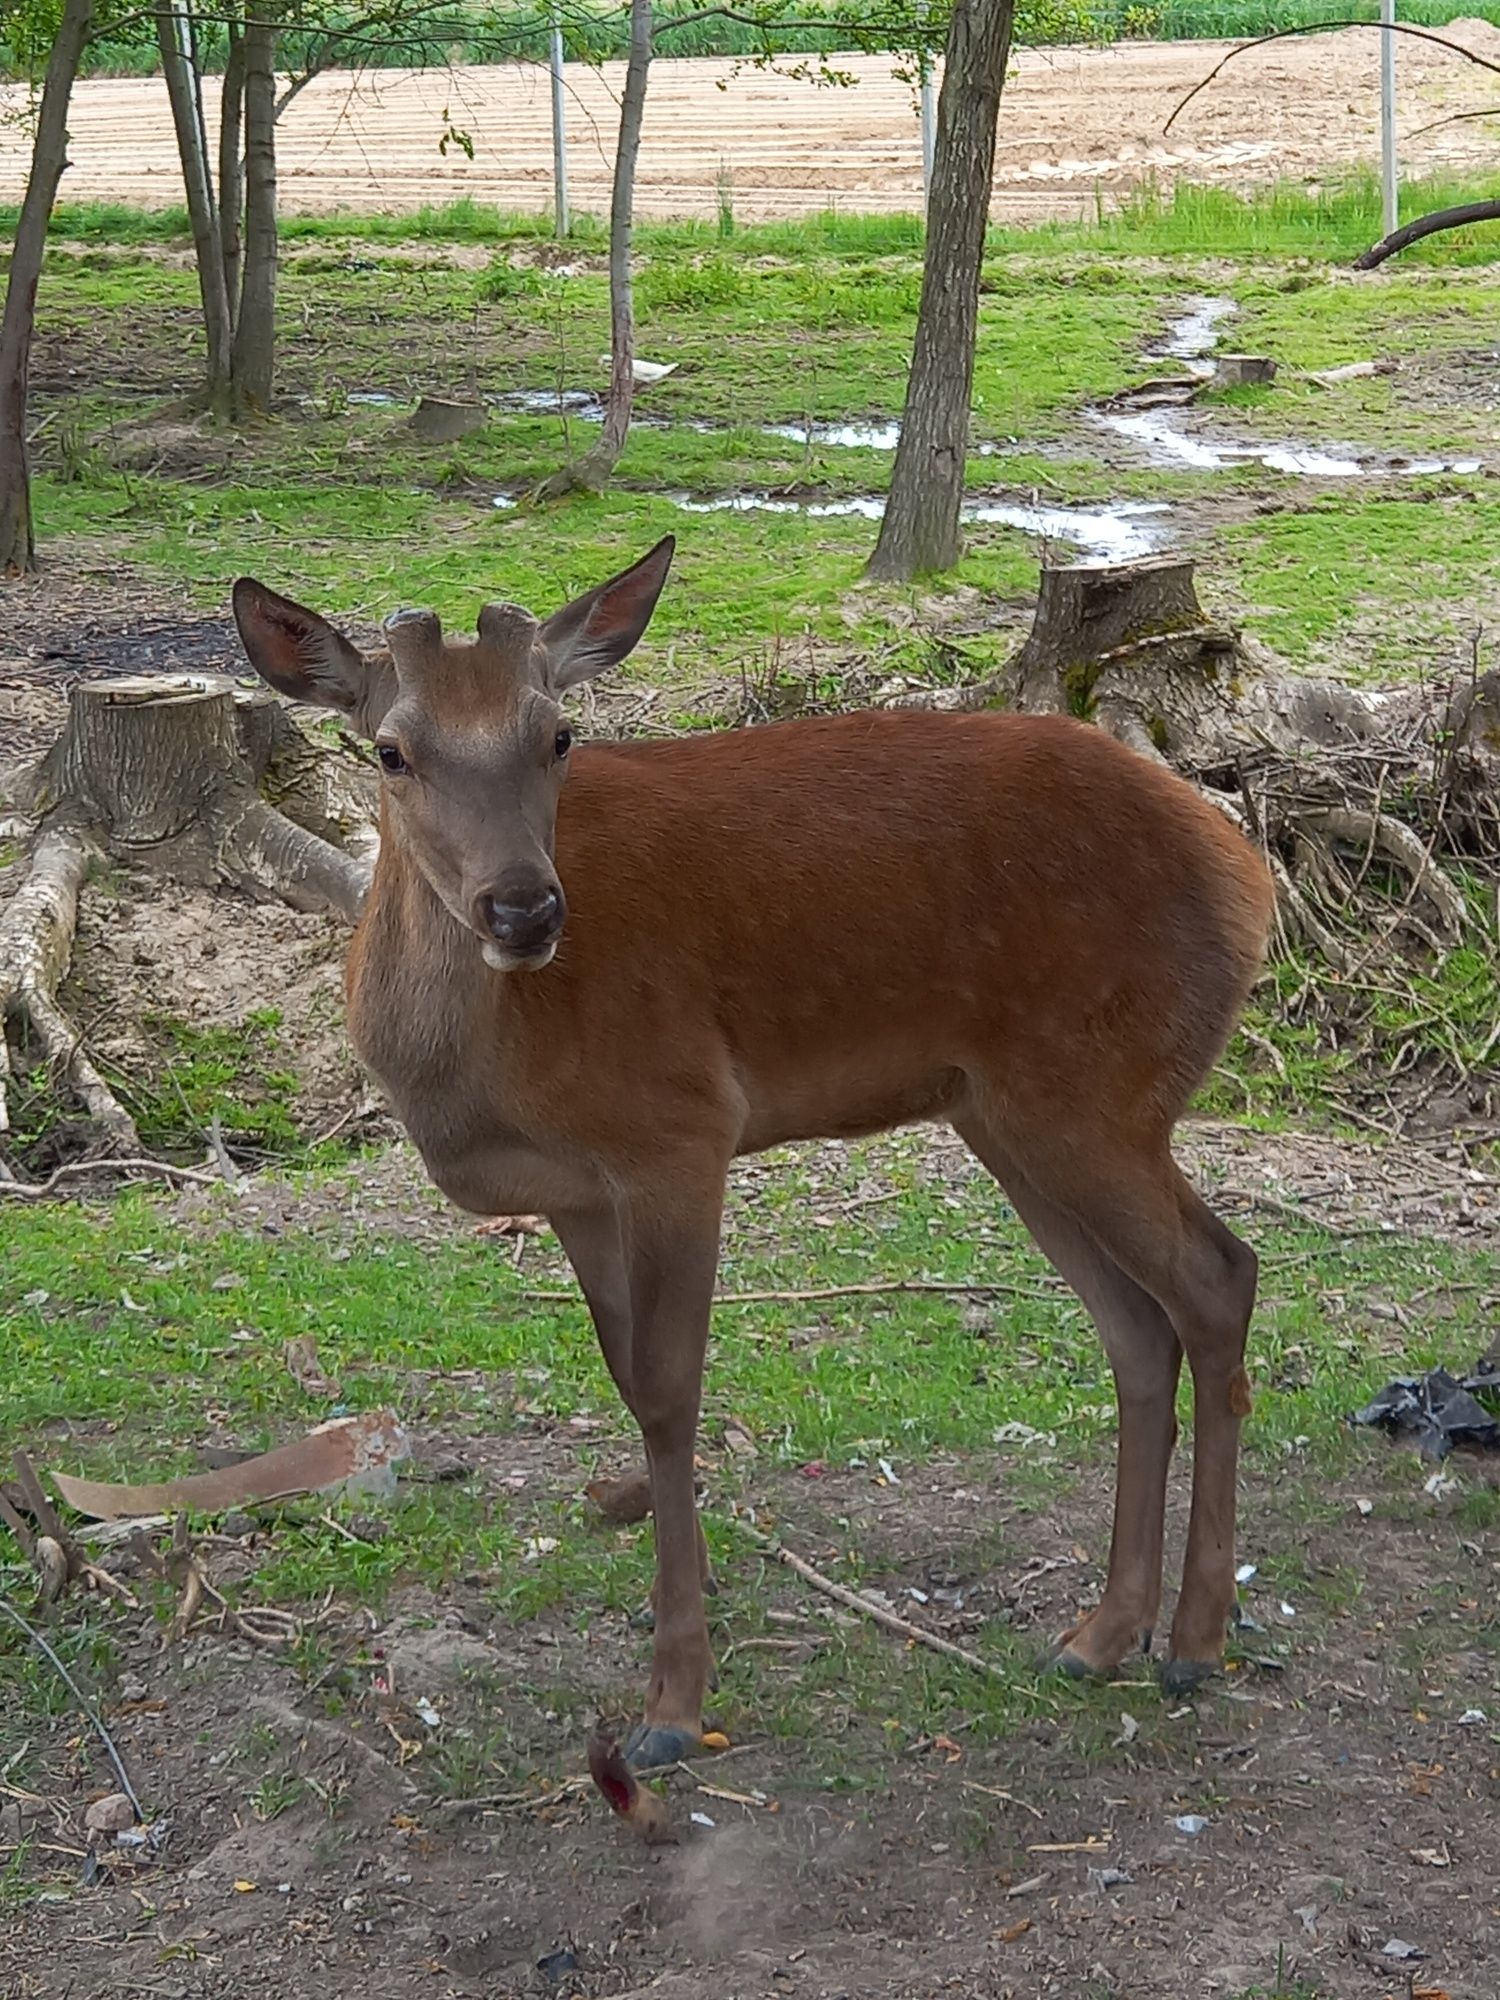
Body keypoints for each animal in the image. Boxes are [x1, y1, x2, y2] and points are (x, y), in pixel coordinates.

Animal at [235, 540, 1280, 1776]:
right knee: (1136, 1327)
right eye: (391, 749)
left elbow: (669, 1393)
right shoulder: (574, 1195)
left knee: (1218, 1276)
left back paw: (1196, 1640)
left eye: (559, 734)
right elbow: (625, 1378)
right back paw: (1102, 1633)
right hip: (1010, 1114)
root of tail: (1252, 876)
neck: (488, 1077)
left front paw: (674, 1702)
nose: (525, 909)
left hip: (1096, 1090)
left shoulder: (679, 1127)